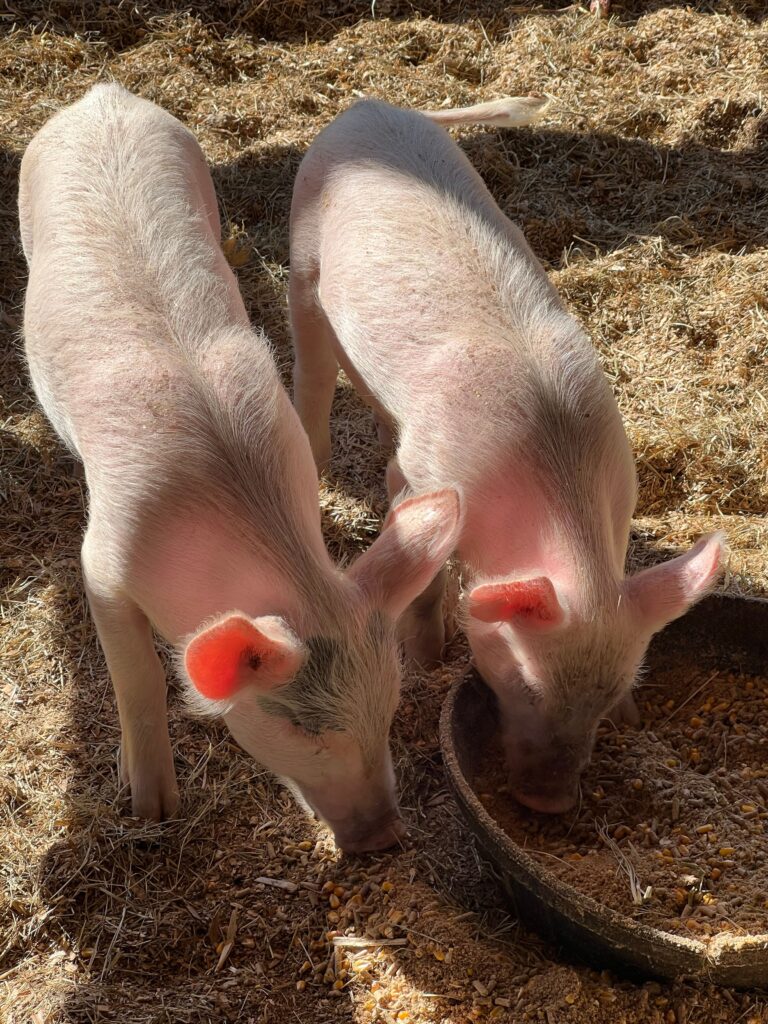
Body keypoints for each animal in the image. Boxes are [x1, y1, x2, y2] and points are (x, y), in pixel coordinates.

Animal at [19, 83, 462, 851]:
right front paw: (150, 811)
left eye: (390, 706)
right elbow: (139, 680)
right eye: (304, 729)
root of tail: (102, 95)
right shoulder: (101, 563)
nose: (384, 837)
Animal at [289, 95, 724, 813]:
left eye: (607, 697)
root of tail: (369, 105)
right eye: (523, 682)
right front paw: (427, 659)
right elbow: (423, 570)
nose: (550, 803)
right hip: (302, 254)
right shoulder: (423, 475)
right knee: (313, 365)